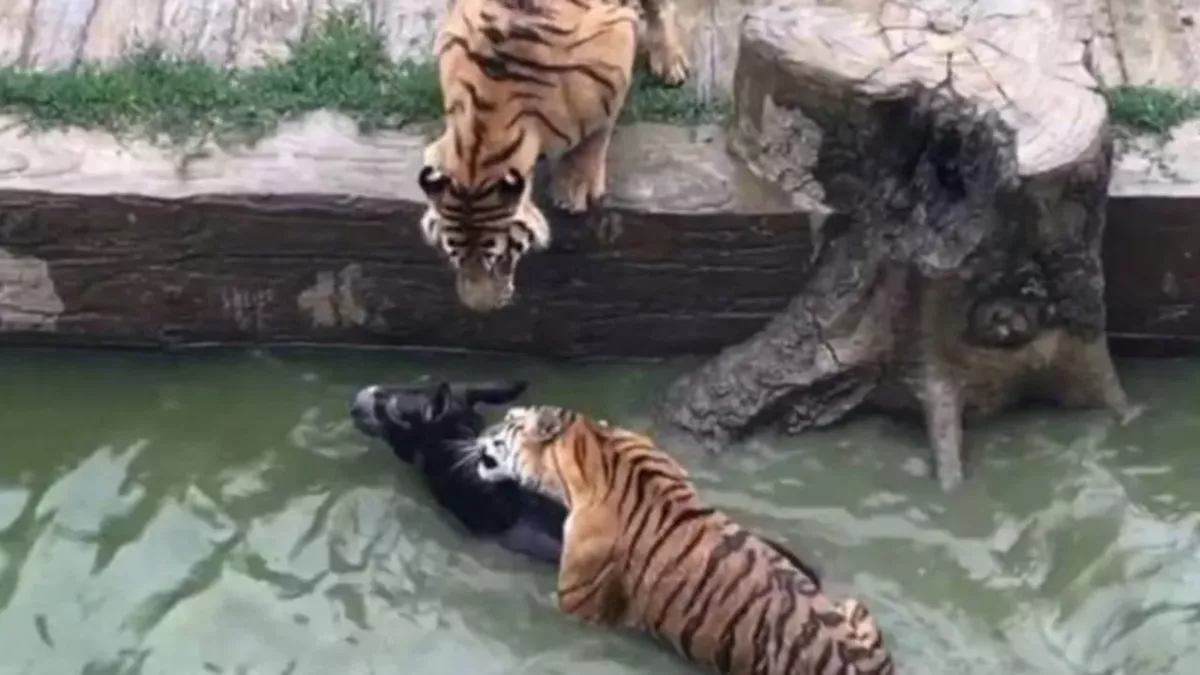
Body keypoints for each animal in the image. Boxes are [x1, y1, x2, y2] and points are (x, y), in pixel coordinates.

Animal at [417, 0, 691, 312]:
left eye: (499, 259)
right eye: (456, 256)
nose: (481, 310)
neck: (482, 138)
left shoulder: (615, 53)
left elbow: (596, 134)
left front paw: (575, 186)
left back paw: (670, 62)